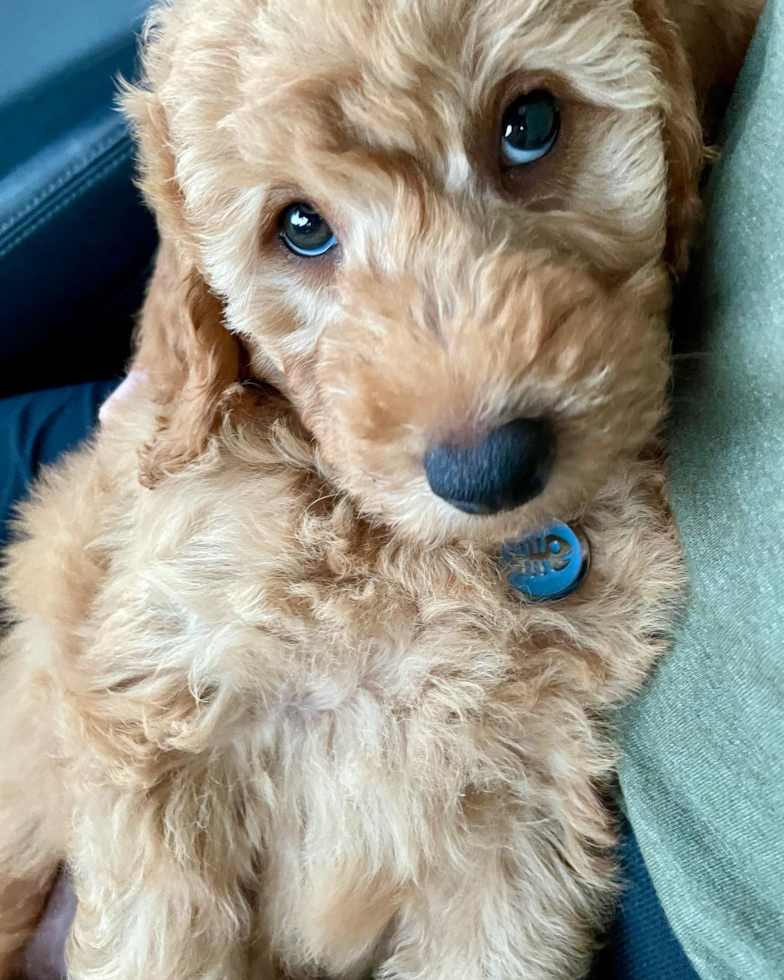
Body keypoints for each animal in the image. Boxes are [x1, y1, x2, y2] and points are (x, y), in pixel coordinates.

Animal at [0, 1, 764, 980]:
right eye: (300, 226)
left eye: (531, 124)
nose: (490, 470)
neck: (405, 556)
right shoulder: (157, 719)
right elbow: (162, 938)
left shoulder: (521, 817)